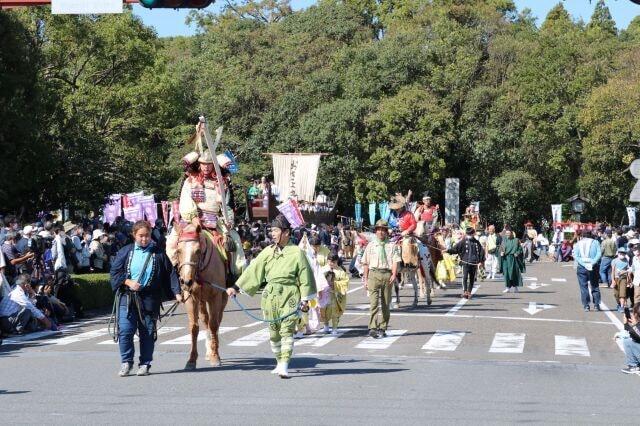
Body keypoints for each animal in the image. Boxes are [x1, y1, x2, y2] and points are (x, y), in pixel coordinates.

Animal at [174, 223, 229, 370]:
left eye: (198, 251)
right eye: (178, 251)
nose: (186, 281)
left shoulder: (215, 296)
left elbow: (214, 325)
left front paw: (215, 356)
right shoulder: (191, 297)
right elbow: (194, 327)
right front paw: (192, 359)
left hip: (222, 297)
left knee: (217, 320)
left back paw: (214, 349)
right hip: (201, 301)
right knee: (205, 320)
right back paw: (209, 350)